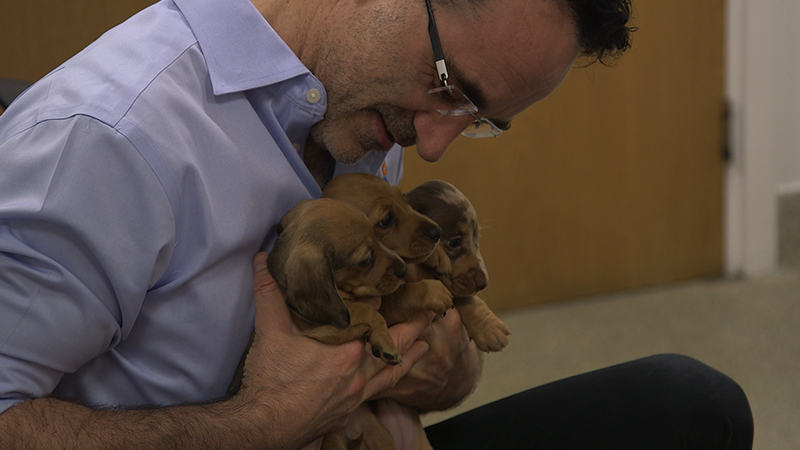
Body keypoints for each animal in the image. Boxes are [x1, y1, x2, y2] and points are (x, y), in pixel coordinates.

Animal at [404, 179, 510, 352]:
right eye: (454, 242)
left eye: (476, 238)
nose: (483, 283)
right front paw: (435, 255)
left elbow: (465, 297)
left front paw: (489, 328)